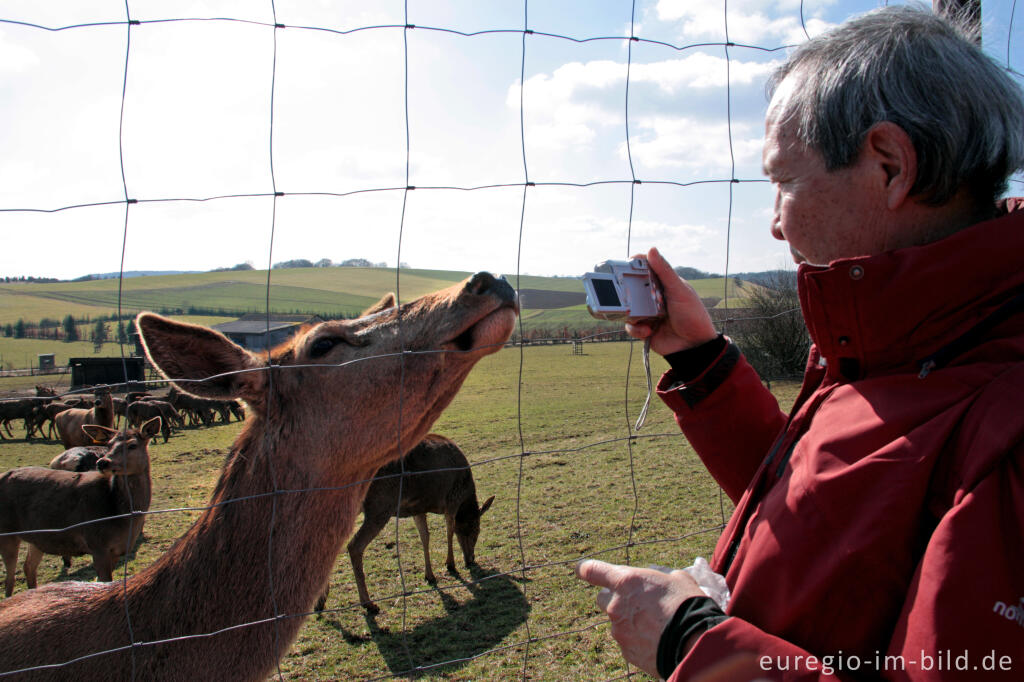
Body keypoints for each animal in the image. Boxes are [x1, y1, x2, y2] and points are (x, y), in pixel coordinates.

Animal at [0, 417, 159, 598]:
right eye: (109, 444)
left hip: (37, 538)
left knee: (28, 567)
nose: (102, 462)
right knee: (10, 578)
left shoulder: (116, 550)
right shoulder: (97, 544)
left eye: (133, 445)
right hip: (7, 531)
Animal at [315, 432, 499, 614]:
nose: (471, 559)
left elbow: (425, 537)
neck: (465, 499)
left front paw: (430, 575)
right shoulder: (452, 500)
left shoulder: (418, 509)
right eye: (476, 530)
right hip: (380, 505)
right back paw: (368, 603)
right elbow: (449, 531)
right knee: (354, 546)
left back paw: (321, 601)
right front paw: (450, 564)